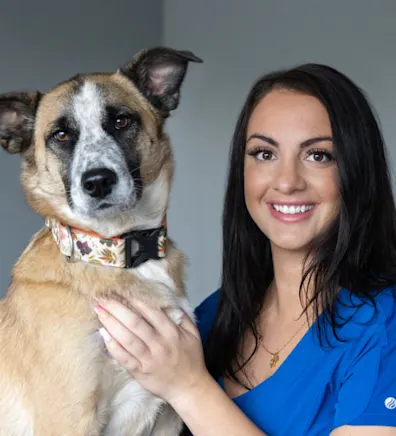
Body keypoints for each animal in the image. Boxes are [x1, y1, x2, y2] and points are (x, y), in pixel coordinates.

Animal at [0, 46, 203, 434]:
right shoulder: (70, 417)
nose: (97, 182)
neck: (114, 253)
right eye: (61, 135)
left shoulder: (168, 414)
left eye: (122, 121)